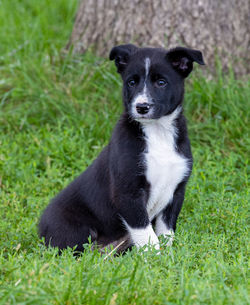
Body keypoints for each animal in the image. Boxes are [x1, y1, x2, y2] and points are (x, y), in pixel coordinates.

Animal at [38, 44, 204, 252]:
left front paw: (169, 255)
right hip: (76, 230)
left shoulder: (176, 190)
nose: (141, 107)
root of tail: (40, 229)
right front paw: (155, 257)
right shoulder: (128, 193)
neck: (157, 132)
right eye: (131, 82)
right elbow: (146, 233)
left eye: (161, 82)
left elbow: (166, 231)